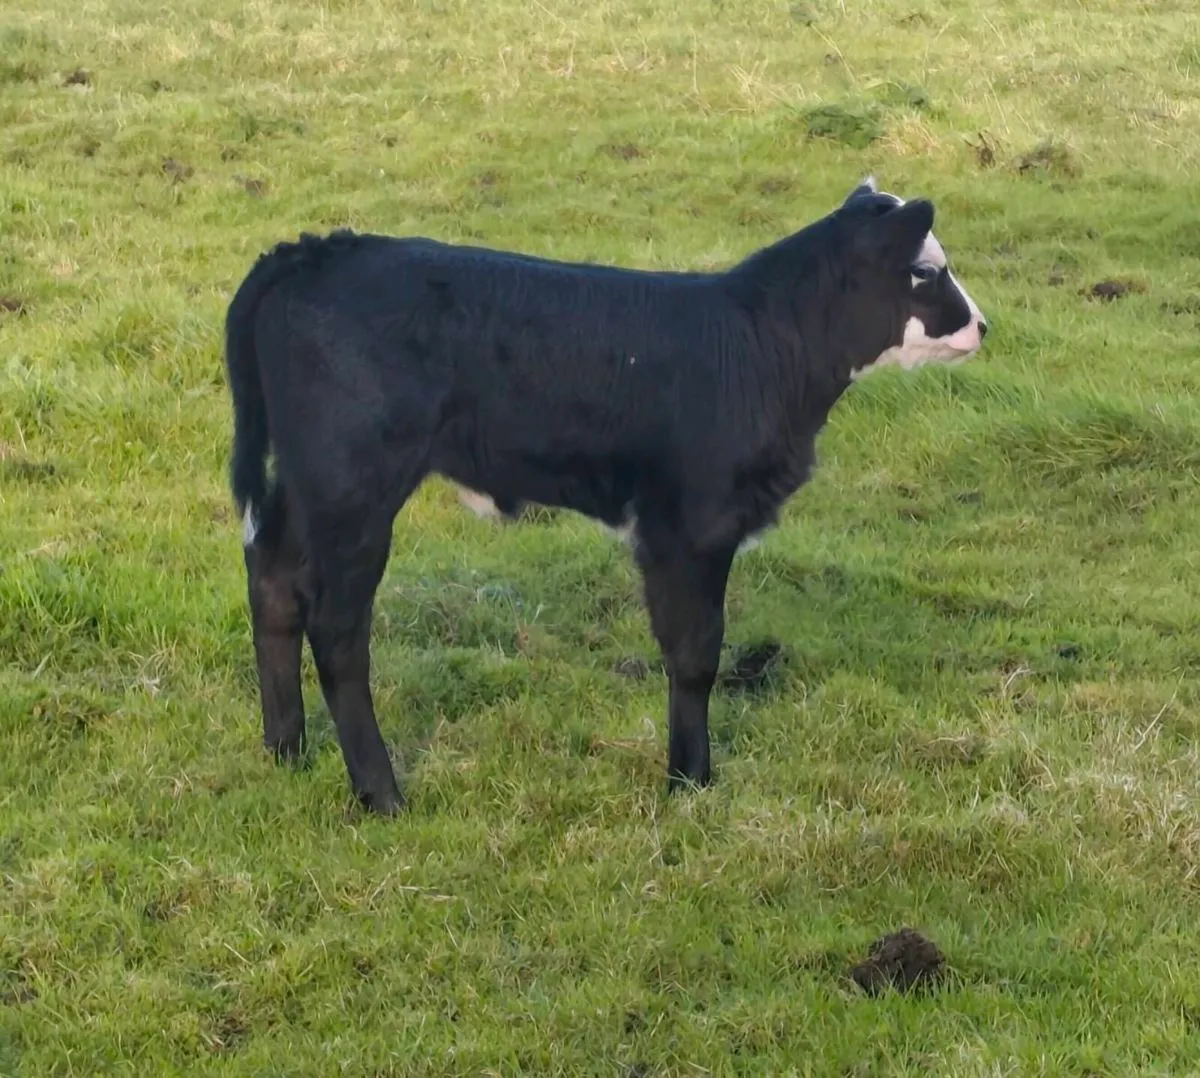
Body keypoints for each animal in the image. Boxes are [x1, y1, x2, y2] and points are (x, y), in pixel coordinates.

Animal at [223, 176, 987, 815]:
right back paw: (380, 793)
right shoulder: (690, 524)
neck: (759, 343)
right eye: (925, 271)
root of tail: (316, 250)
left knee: (274, 581)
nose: (982, 326)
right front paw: (689, 782)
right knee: (338, 629)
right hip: (353, 489)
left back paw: (286, 751)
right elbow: (695, 652)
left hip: (306, 484)